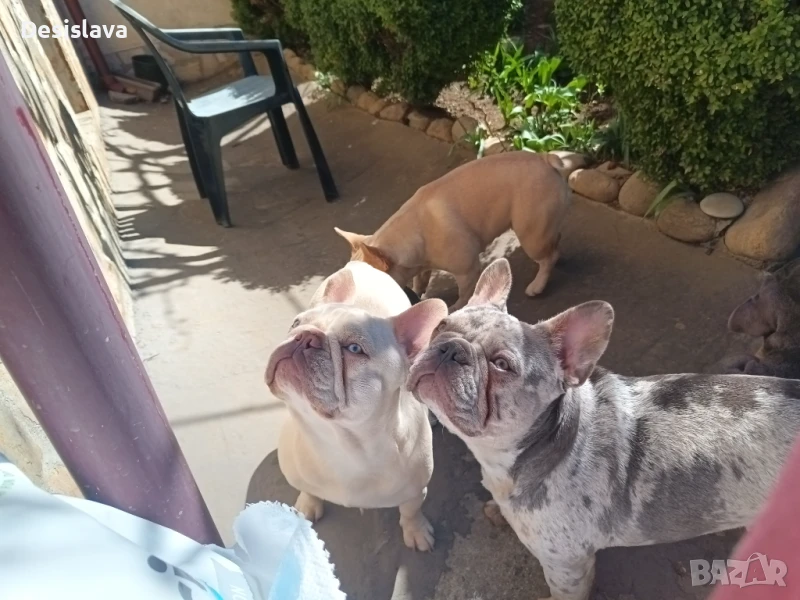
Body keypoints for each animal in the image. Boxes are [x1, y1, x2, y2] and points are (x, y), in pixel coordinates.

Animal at [266, 261, 447, 550]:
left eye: (354, 348)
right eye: (296, 323)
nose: (304, 337)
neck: (343, 442)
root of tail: (361, 263)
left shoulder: (415, 490)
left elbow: (410, 511)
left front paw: (416, 531)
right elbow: (308, 489)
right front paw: (307, 505)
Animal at [334, 152, 570, 311]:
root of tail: (545, 159)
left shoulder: (468, 270)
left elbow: (465, 293)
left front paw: (457, 307)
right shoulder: (421, 265)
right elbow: (420, 280)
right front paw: (418, 292)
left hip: (530, 235)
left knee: (547, 258)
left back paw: (538, 284)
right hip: (542, 230)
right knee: (554, 243)